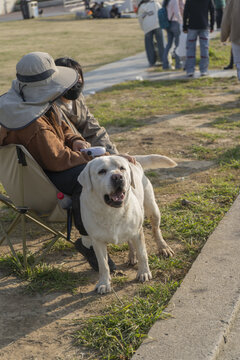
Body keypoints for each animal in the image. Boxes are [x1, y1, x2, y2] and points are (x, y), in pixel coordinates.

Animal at [78, 154, 176, 292]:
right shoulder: (97, 241)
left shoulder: (138, 233)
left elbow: (143, 254)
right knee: (130, 241)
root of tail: (133, 158)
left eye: (122, 168)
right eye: (101, 171)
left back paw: (163, 248)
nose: (118, 177)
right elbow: (103, 265)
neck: (112, 212)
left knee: (156, 230)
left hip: (153, 210)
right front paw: (104, 283)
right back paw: (131, 256)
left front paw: (144, 272)